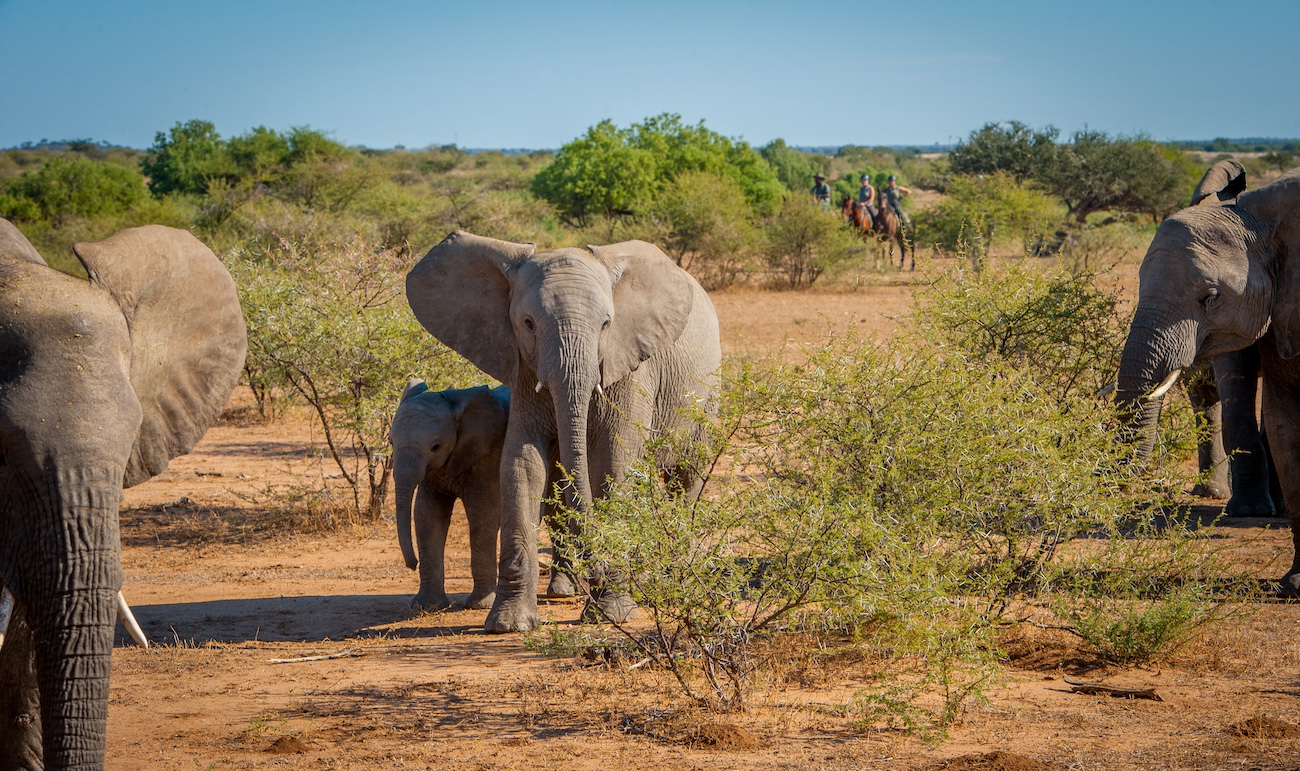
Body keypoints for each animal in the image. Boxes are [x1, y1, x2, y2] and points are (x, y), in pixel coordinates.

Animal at [387, 377, 509, 611]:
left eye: (436, 447)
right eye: (390, 442)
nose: (413, 564)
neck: (454, 399)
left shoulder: (488, 455)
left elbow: (482, 514)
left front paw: (480, 606)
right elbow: (427, 516)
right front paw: (427, 606)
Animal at [405, 228, 722, 631]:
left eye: (606, 325)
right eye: (528, 323)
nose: (597, 571)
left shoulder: (630, 367)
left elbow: (611, 463)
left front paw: (612, 614)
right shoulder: (523, 369)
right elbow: (523, 463)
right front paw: (509, 623)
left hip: (706, 395)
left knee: (687, 477)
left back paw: (670, 579)